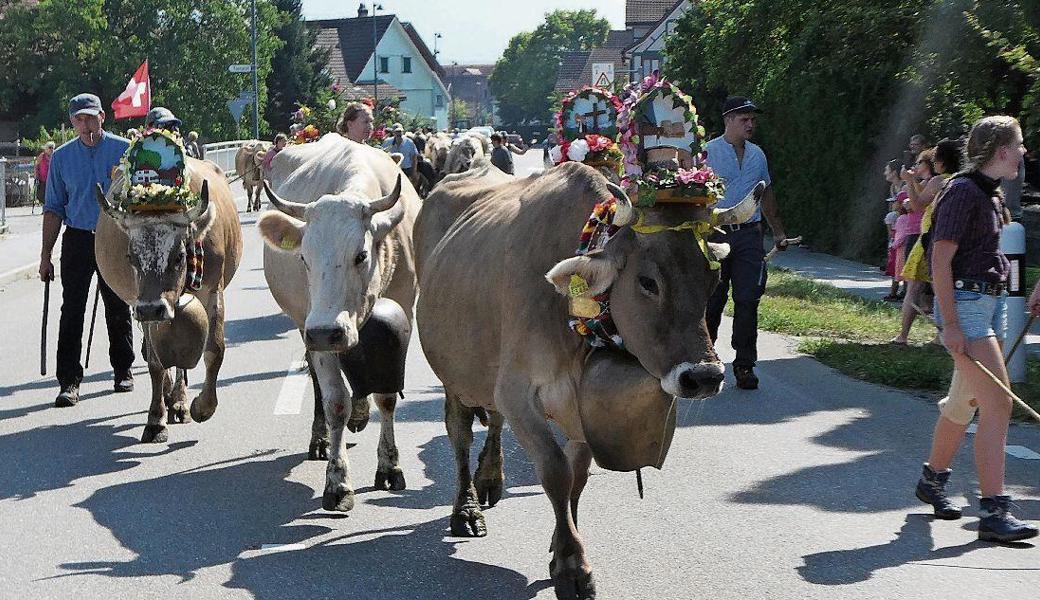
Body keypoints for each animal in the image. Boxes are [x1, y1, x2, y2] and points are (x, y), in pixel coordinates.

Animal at [93, 128, 243, 442]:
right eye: (131, 256)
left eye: (179, 256)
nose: (153, 309)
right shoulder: (143, 303)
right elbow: (155, 362)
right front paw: (155, 419)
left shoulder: (213, 290)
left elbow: (215, 349)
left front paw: (202, 406)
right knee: (158, 356)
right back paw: (168, 398)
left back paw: (180, 402)